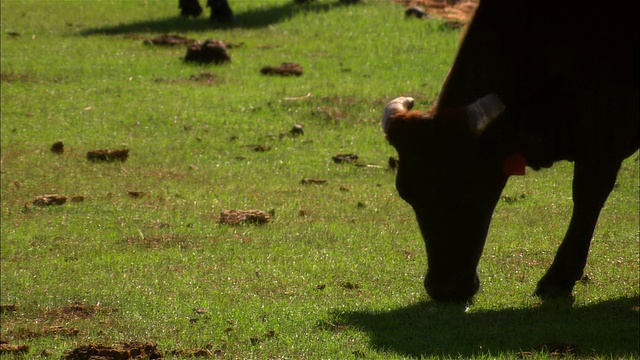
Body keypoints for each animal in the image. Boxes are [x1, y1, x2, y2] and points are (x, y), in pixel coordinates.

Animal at [382, 0, 636, 304]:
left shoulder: (604, 134)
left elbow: (588, 196)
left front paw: (558, 278)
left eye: (472, 188)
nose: (445, 289)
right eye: (406, 193)